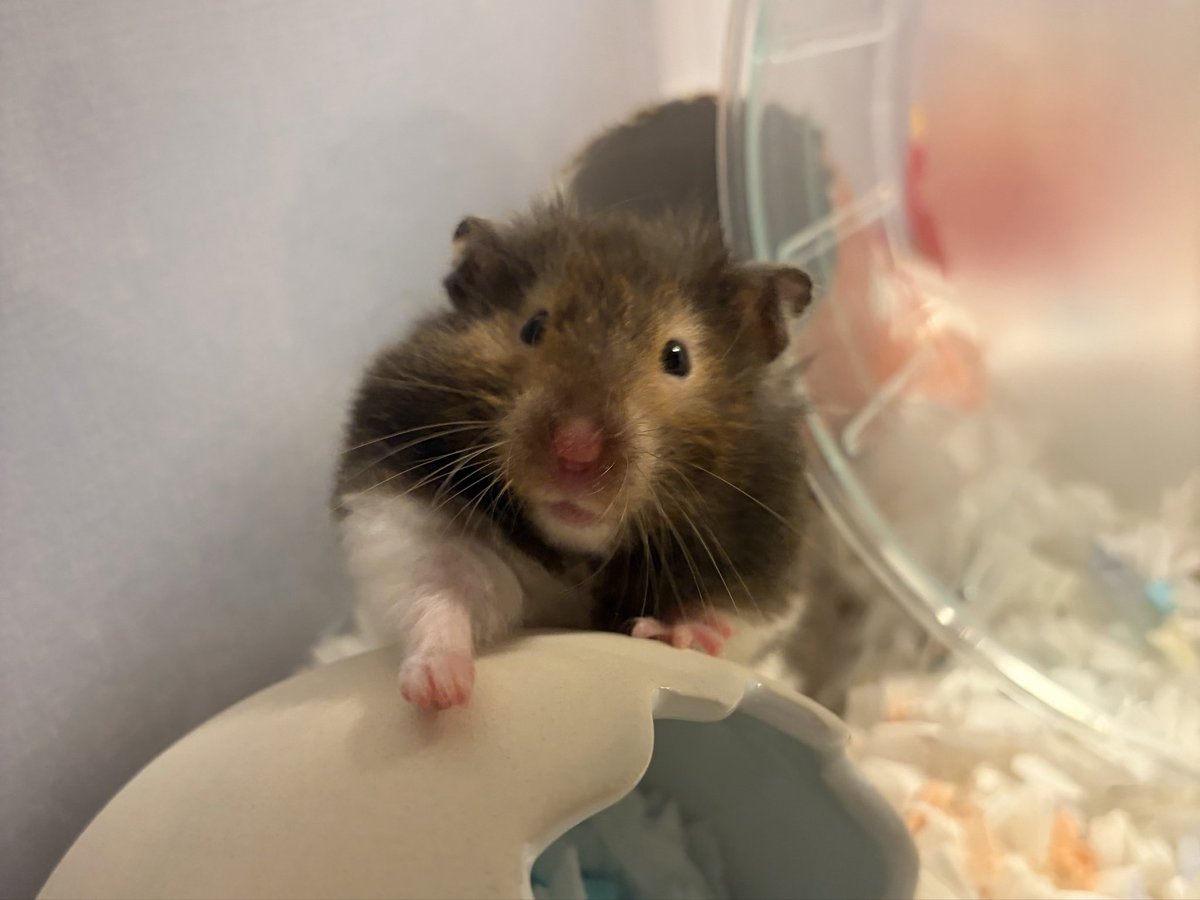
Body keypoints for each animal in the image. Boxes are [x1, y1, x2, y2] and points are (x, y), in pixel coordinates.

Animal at [334, 202, 813, 709]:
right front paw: (438, 693)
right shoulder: (407, 514)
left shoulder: (758, 568)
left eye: (677, 357)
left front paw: (678, 635)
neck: (575, 551)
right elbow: (442, 594)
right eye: (534, 327)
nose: (576, 449)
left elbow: (722, 617)